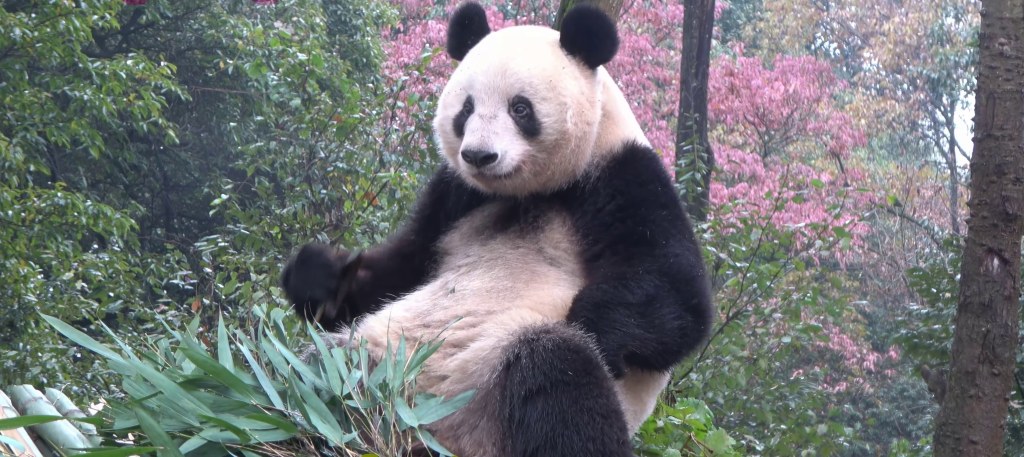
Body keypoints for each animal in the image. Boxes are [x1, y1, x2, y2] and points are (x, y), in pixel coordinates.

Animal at [281, 3, 713, 456]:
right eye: (466, 108)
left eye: (520, 108)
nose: (479, 155)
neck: (526, 193)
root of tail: (414, 430)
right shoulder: (456, 194)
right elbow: (401, 268)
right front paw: (317, 274)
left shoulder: (624, 178)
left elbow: (677, 301)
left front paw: (595, 323)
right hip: (365, 363)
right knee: (312, 373)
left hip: (490, 394)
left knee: (558, 375)